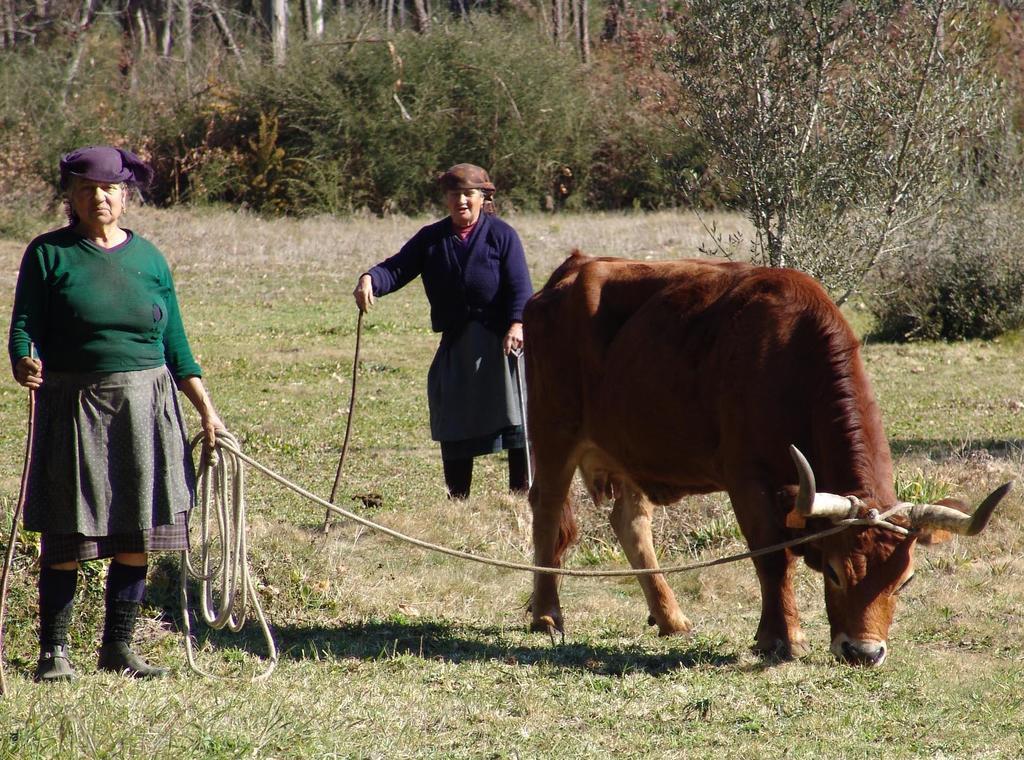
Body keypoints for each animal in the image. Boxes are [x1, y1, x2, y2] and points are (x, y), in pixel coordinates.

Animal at [524, 254, 1011, 667]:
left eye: (904, 580)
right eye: (834, 572)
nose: (864, 652)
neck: (789, 358)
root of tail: (574, 267)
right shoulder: (747, 480)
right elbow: (773, 557)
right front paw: (780, 638)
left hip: (629, 448)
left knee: (630, 523)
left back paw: (670, 618)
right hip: (553, 433)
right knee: (547, 511)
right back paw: (547, 615)